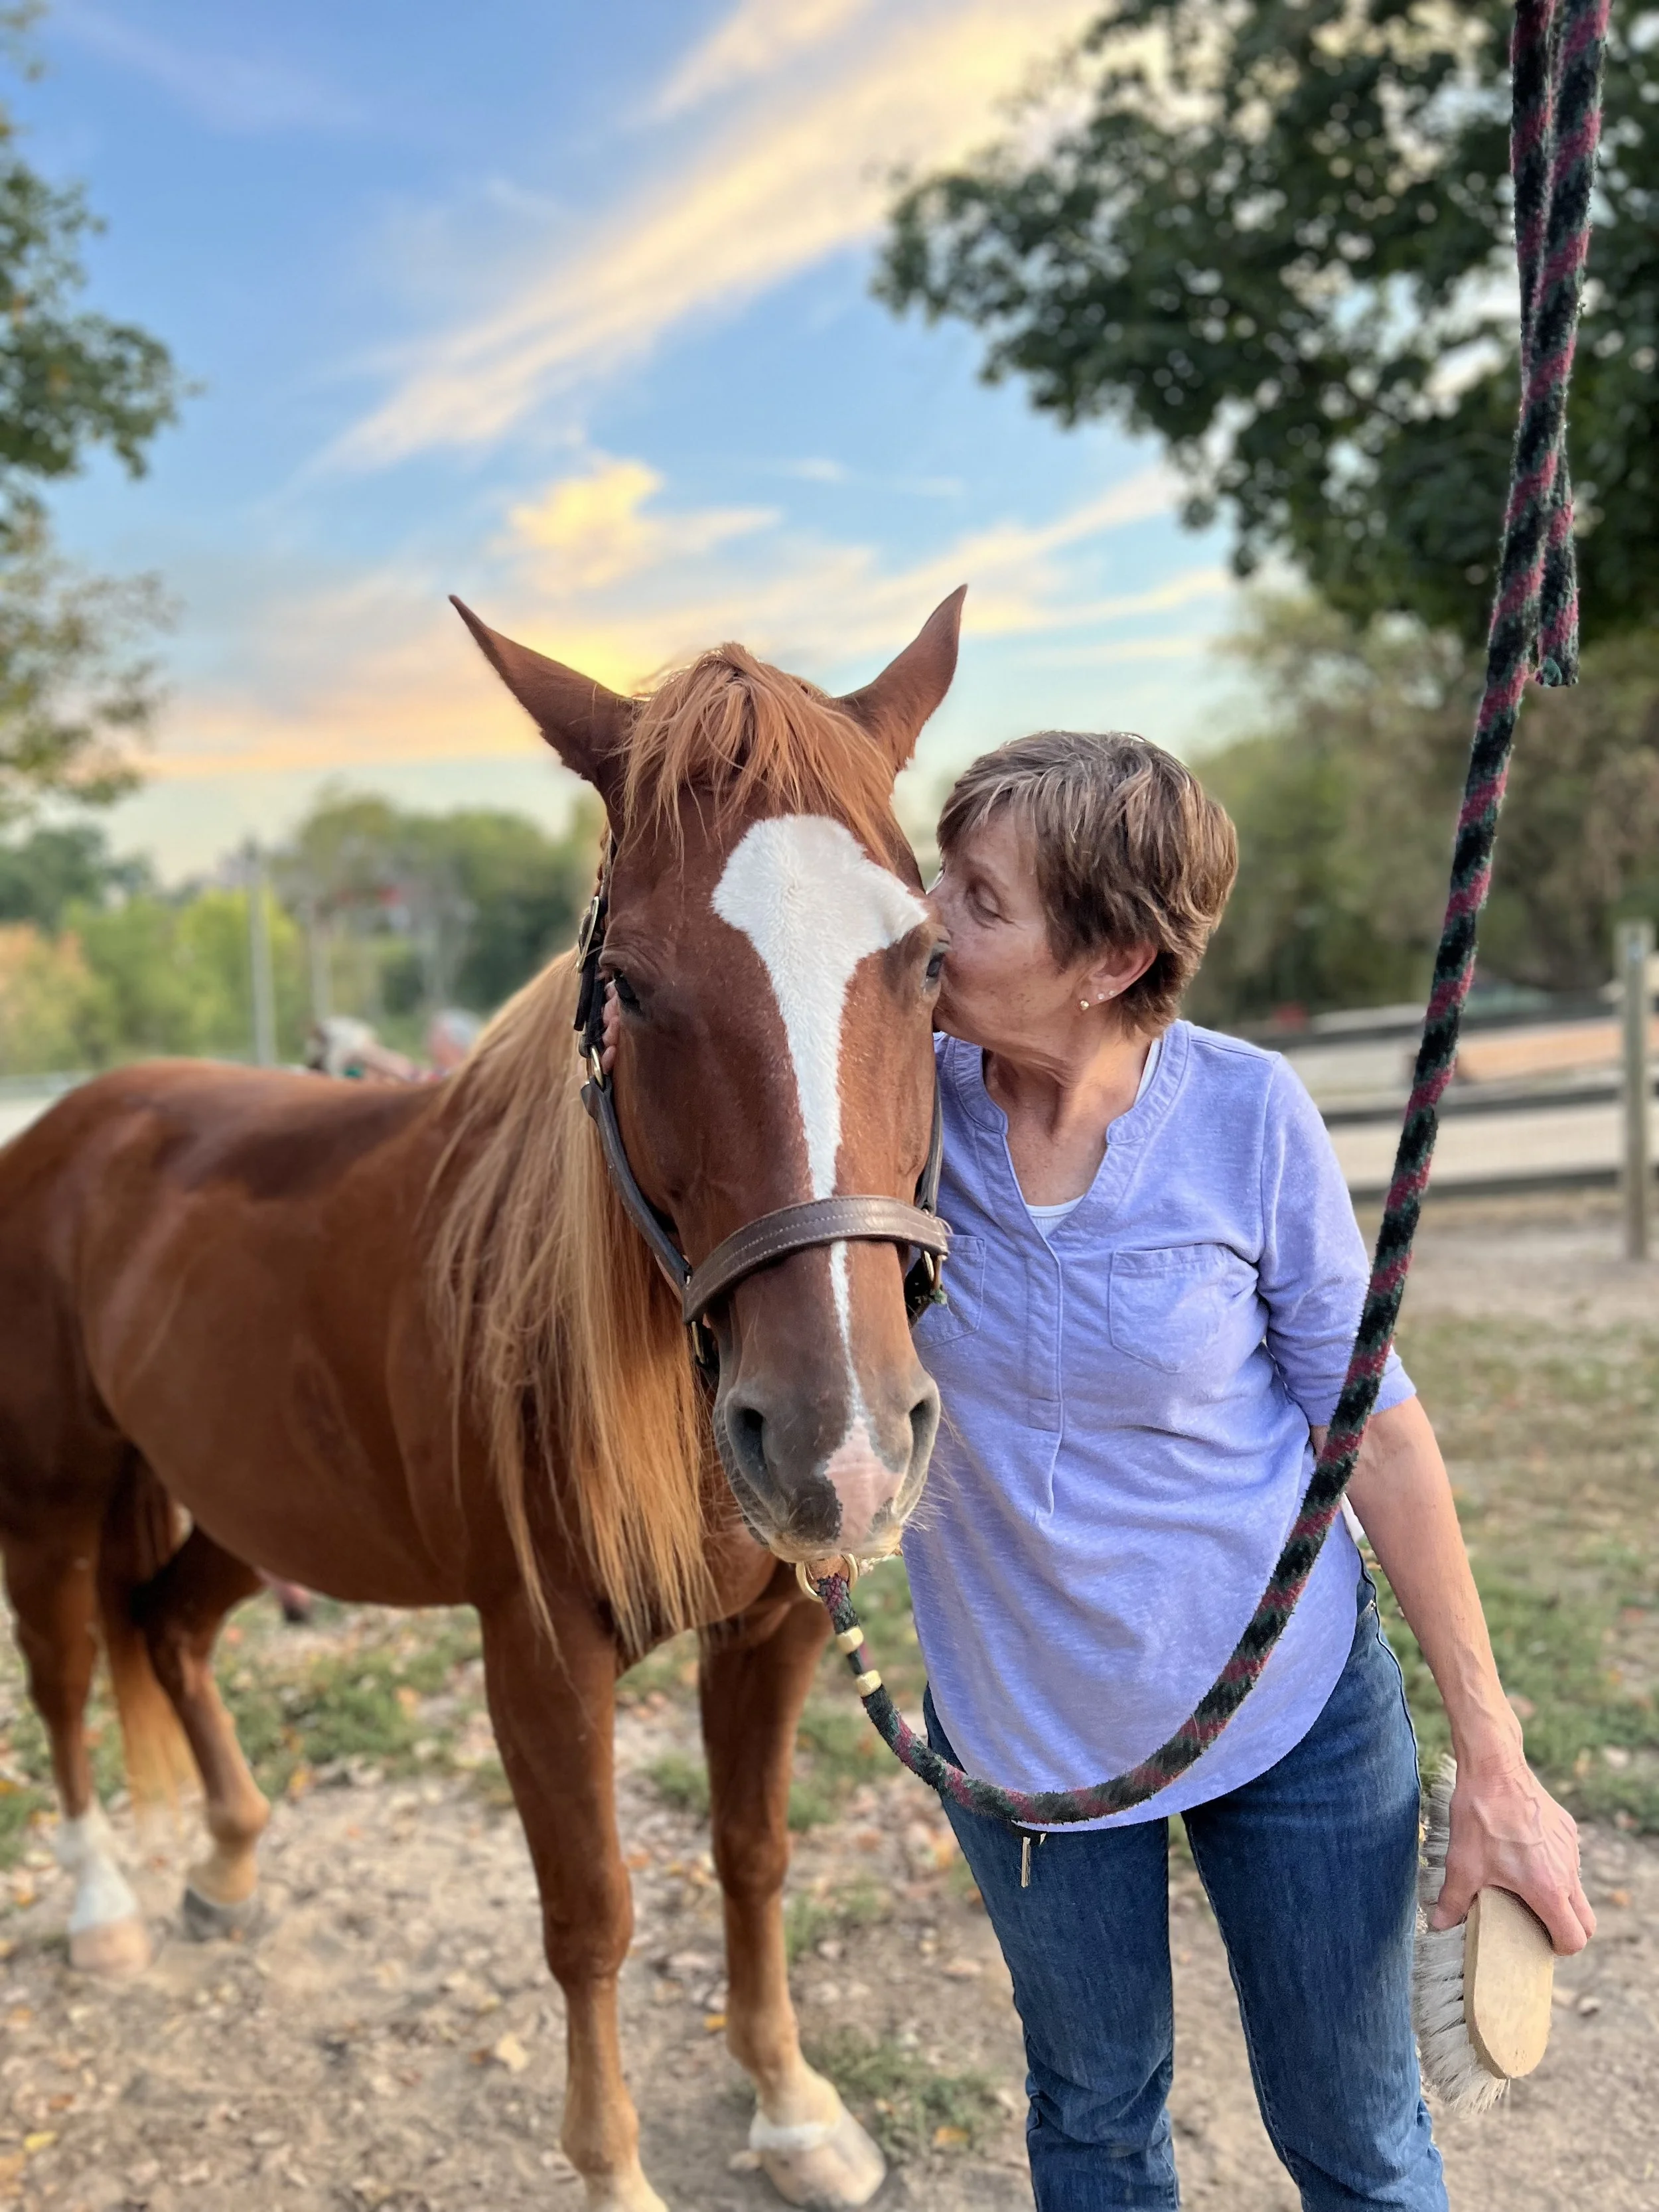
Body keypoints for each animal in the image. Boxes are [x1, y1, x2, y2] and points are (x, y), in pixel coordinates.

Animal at [0, 587, 964, 2212]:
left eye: (932, 962)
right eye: (627, 983)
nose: (837, 1443)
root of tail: (70, 1122)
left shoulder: (775, 1629)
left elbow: (750, 1853)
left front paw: (790, 2105)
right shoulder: (538, 1651)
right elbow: (593, 1915)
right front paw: (613, 2168)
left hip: (247, 1504)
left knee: (168, 1631)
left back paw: (231, 1861)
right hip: (57, 1489)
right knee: (69, 1669)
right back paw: (100, 1905)